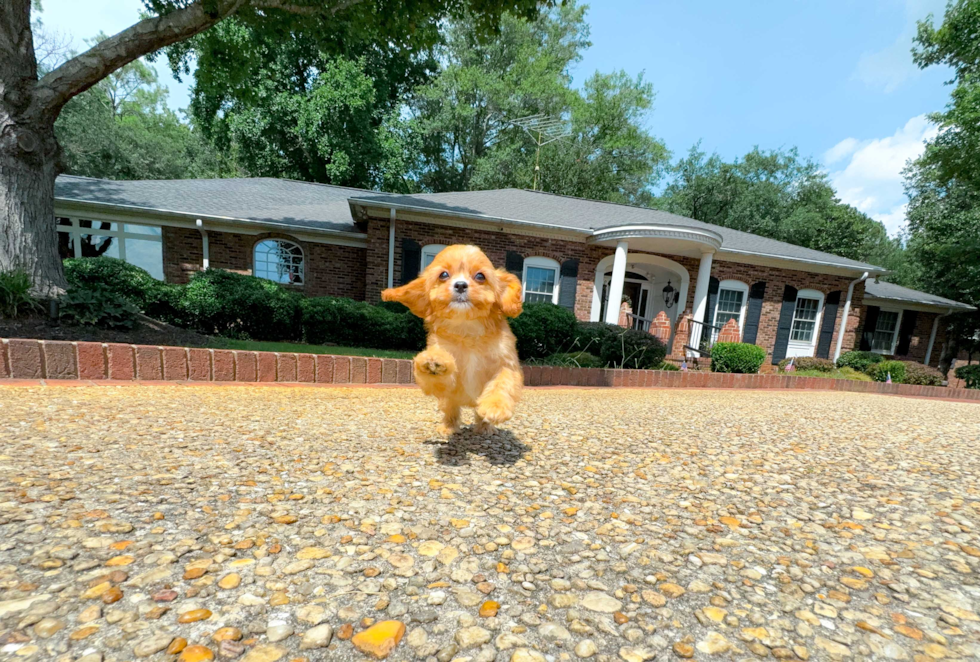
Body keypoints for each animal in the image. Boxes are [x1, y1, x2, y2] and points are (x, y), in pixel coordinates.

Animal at [380, 244, 524, 436]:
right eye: (444, 275)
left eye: (480, 276)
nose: (461, 285)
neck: (466, 328)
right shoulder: (449, 384)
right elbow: (440, 379)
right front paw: (433, 363)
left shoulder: (506, 363)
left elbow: (502, 382)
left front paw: (495, 407)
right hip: (449, 401)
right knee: (451, 410)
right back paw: (448, 427)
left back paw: (485, 427)